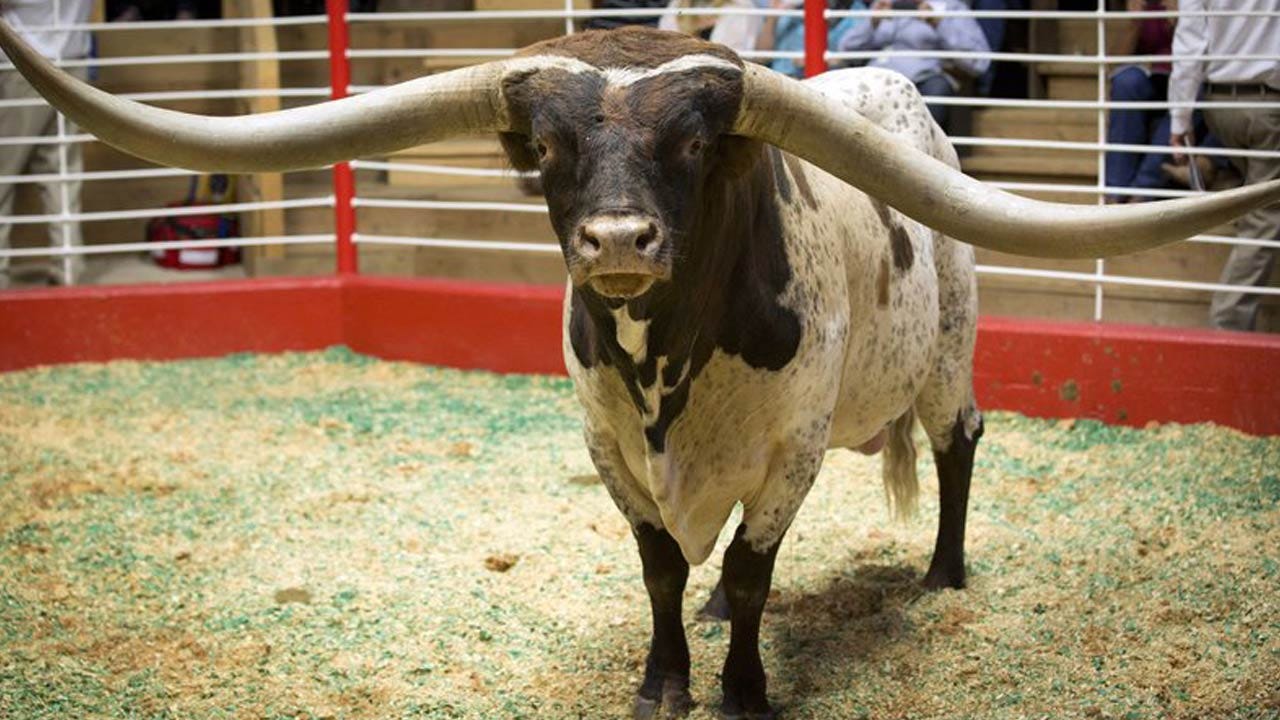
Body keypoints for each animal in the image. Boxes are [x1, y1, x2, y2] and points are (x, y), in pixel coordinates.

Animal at [4, 23, 1277, 720]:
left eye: (695, 143)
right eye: (549, 147)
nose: (616, 241)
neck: (671, 368)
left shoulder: (791, 449)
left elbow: (760, 573)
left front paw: (746, 687)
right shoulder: (609, 449)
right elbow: (665, 570)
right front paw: (668, 673)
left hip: (947, 347)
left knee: (959, 441)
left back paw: (942, 576)